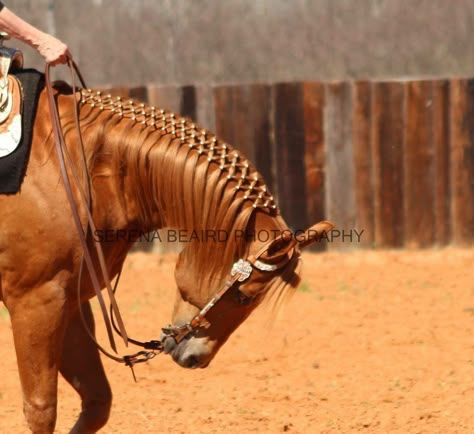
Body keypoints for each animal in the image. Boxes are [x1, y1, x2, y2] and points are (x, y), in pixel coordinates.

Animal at [0, 79, 330, 432]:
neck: (79, 169)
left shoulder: (71, 304)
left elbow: (98, 400)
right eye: (245, 296)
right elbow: (41, 409)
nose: (197, 359)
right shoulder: (36, 303)